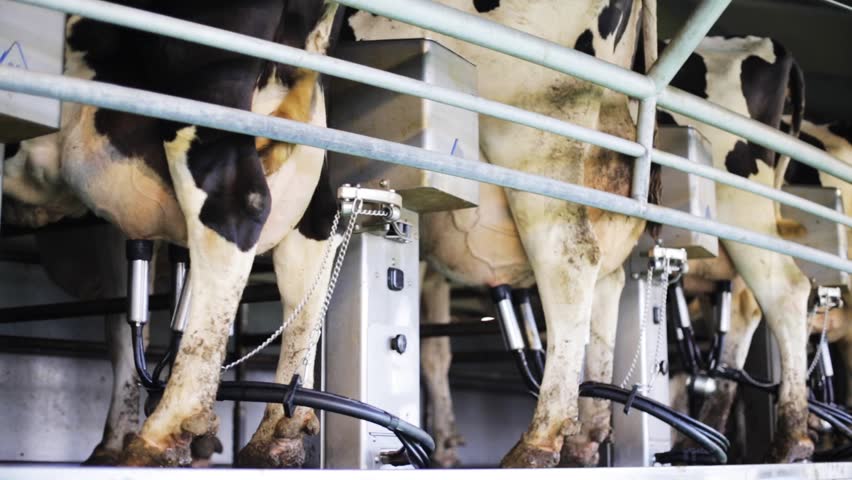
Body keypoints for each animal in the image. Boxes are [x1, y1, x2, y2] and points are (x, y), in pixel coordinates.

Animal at [4, 0, 342, 464]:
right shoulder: (118, 226)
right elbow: (120, 322)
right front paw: (112, 440)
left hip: (204, 96)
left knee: (236, 205)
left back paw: (167, 427)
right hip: (309, 140)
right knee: (312, 246)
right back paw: (276, 432)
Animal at [346, 0, 660, 468]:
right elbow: (434, 349)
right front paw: (445, 440)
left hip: (538, 140)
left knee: (571, 258)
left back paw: (538, 441)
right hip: (609, 165)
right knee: (608, 278)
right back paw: (587, 433)